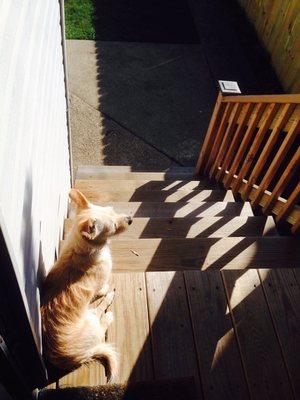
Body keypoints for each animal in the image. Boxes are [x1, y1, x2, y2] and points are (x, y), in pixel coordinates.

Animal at [40, 189, 132, 382]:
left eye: (112, 209)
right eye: (113, 226)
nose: (130, 219)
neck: (82, 248)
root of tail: (82, 356)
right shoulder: (101, 282)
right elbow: (102, 289)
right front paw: (106, 292)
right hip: (91, 323)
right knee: (100, 317)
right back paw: (108, 309)